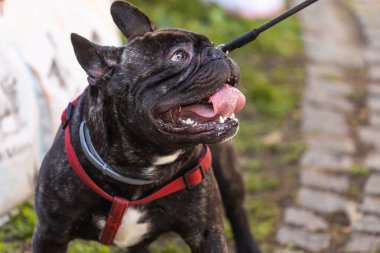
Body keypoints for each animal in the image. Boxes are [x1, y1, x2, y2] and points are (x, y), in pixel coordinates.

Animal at [32, 1, 260, 253]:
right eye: (179, 56)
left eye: (210, 44)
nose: (218, 53)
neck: (141, 165)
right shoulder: (51, 232)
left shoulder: (207, 233)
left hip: (228, 173)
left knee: (237, 210)